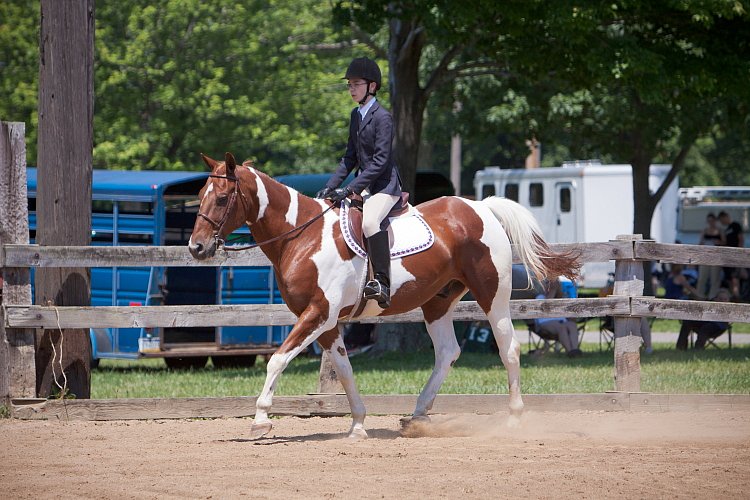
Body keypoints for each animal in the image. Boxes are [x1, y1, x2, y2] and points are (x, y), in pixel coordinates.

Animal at [188, 152, 580, 438]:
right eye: (199, 198)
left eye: (221, 198)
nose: (196, 248)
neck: (302, 236)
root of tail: (481, 206)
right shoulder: (327, 323)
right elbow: (344, 370)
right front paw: (358, 424)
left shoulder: (318, 313)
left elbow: (277, 360)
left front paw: (260, 419)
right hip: (437, 302)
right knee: (448, 352)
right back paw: (417, 416)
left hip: (492, 294)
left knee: (508, 348)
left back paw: (513, 418)